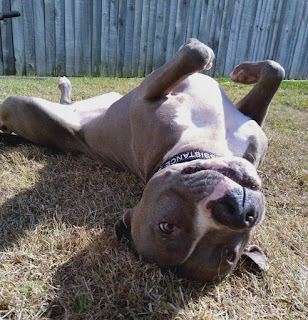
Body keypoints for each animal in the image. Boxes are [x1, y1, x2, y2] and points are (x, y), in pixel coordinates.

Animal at [0, 38, 284, 282]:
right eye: (167, 227)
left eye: (229, 253)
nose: (238, 212)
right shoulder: (148, 94)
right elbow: (204, 54)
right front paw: (242, 72)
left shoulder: (248, 121)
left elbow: (268, 70)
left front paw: (243, 71)